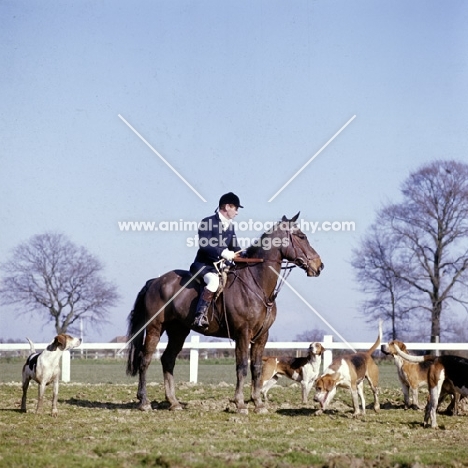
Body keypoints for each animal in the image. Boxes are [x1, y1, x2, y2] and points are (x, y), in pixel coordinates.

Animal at [126, 212, 324, 414]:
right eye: (301, 236)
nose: (319, 266)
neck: (257, 284)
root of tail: (155, 281)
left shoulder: (262, 336)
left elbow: (256, 368)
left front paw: (258, 403)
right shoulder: (243, 333)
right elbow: (242, 367)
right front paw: (240, 403)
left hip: (178, 331)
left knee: (168, 360)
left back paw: (173, 402)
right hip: (155, 327)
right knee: (145, 359)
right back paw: (144, 402)